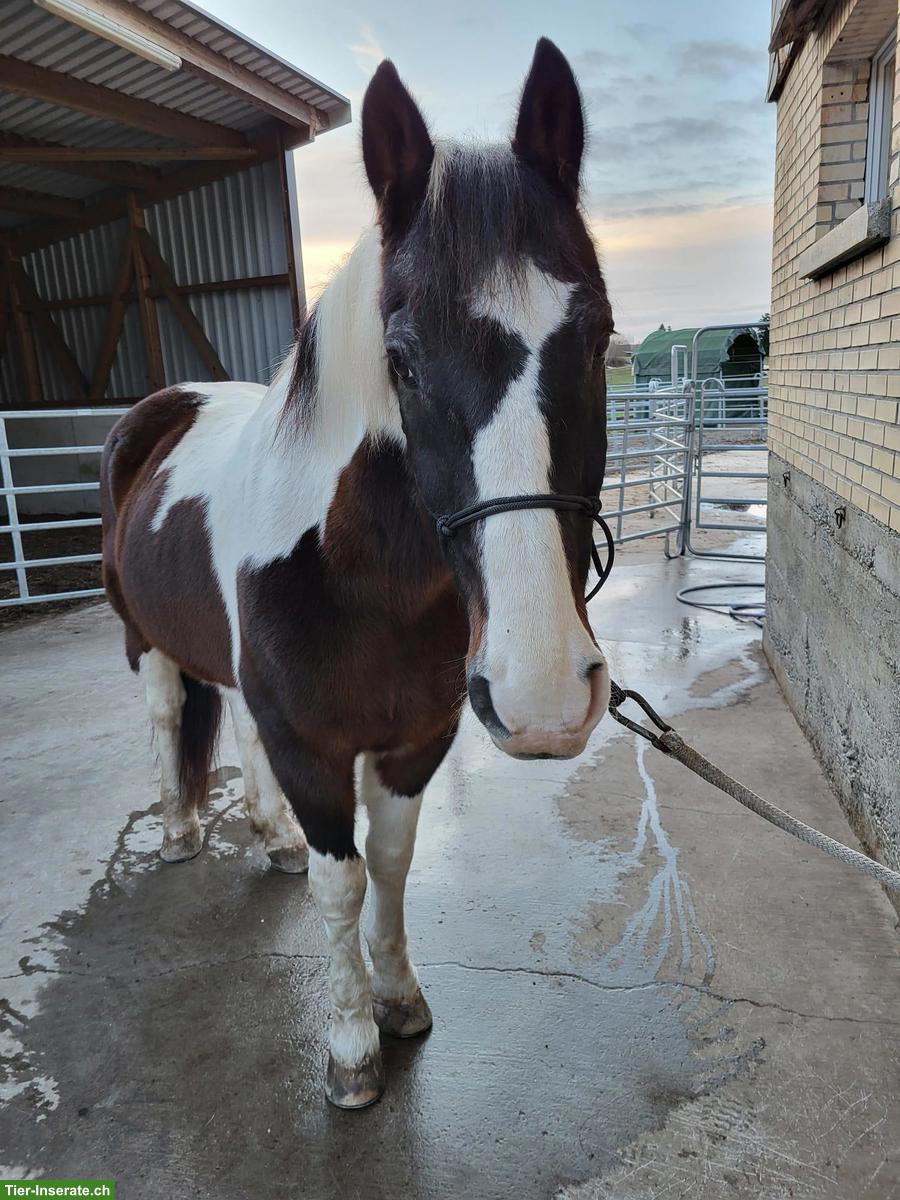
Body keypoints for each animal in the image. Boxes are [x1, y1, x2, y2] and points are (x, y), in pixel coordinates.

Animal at [100, 37, 614, 1109]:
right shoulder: (314, 746)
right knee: (171, 719)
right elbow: (342, 882)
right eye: (402, 359)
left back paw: (271, 836)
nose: (544, 695)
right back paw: (181, 831)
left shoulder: (416, 738)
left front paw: (400, 1000)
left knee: (233, 727)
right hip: (143, 639)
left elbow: (391, 860)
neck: (364, 577)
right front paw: (348, 1047)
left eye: (598, 338)